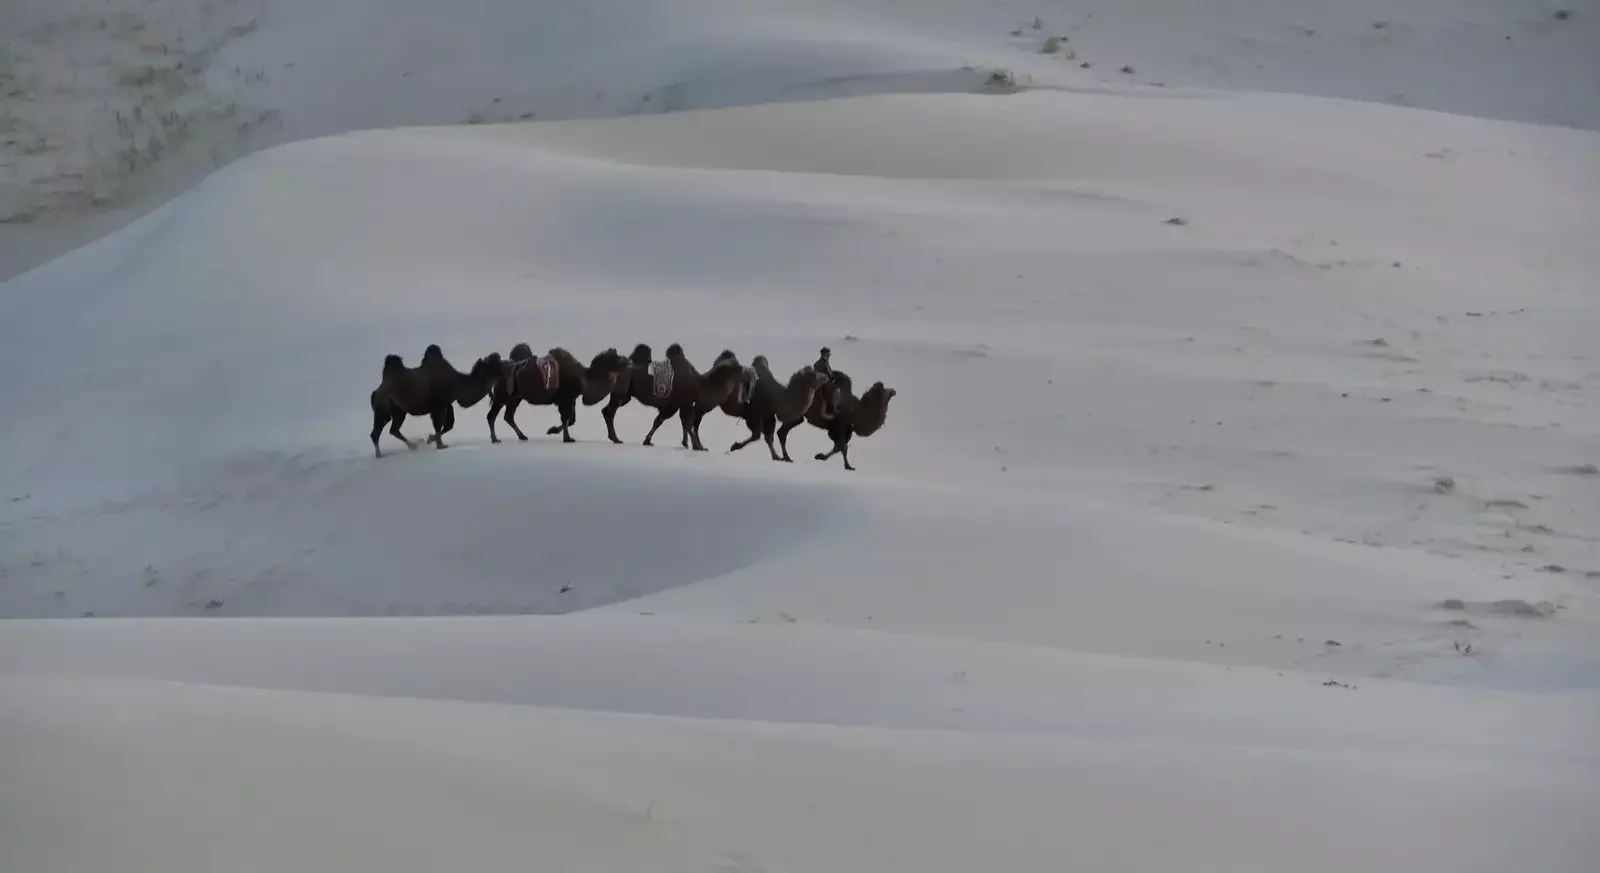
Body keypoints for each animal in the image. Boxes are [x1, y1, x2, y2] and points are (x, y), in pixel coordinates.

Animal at [369, 344, 503, 458]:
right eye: (496, 363)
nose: (506, 365)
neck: (457, 383)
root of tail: (376, 392)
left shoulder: (447, 403)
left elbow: (449, 424)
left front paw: (431, 439)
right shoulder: (439, 404)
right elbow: (439, 424)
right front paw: (440, 445)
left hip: (398, 411)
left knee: (392, 429)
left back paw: (412, 446)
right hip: (383, 409)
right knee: (376, 432)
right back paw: (380, 455)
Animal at [486, 344, 628, 443]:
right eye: (616, 358)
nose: (628, 361)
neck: (584, 379)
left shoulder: (571, 399)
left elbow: (571, 420)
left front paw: (552, 430)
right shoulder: (565, 399)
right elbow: (566, 418)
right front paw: (567, 438)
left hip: (515, 398)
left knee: (508, 416)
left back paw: (522, 436)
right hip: (501, 396)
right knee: (492, 415)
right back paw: (495, 439)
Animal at [600, 343, 745, 451]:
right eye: (737, 366)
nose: (745, 370)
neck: (700, 386)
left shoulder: (678, 405)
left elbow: (666, 421)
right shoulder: (680, 404)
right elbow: (682, 423)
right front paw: (695, 446)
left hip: (625, 395)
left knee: (607, 410)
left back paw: (614, 437)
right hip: (621, 393)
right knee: (609, 411)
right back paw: (616, 438)